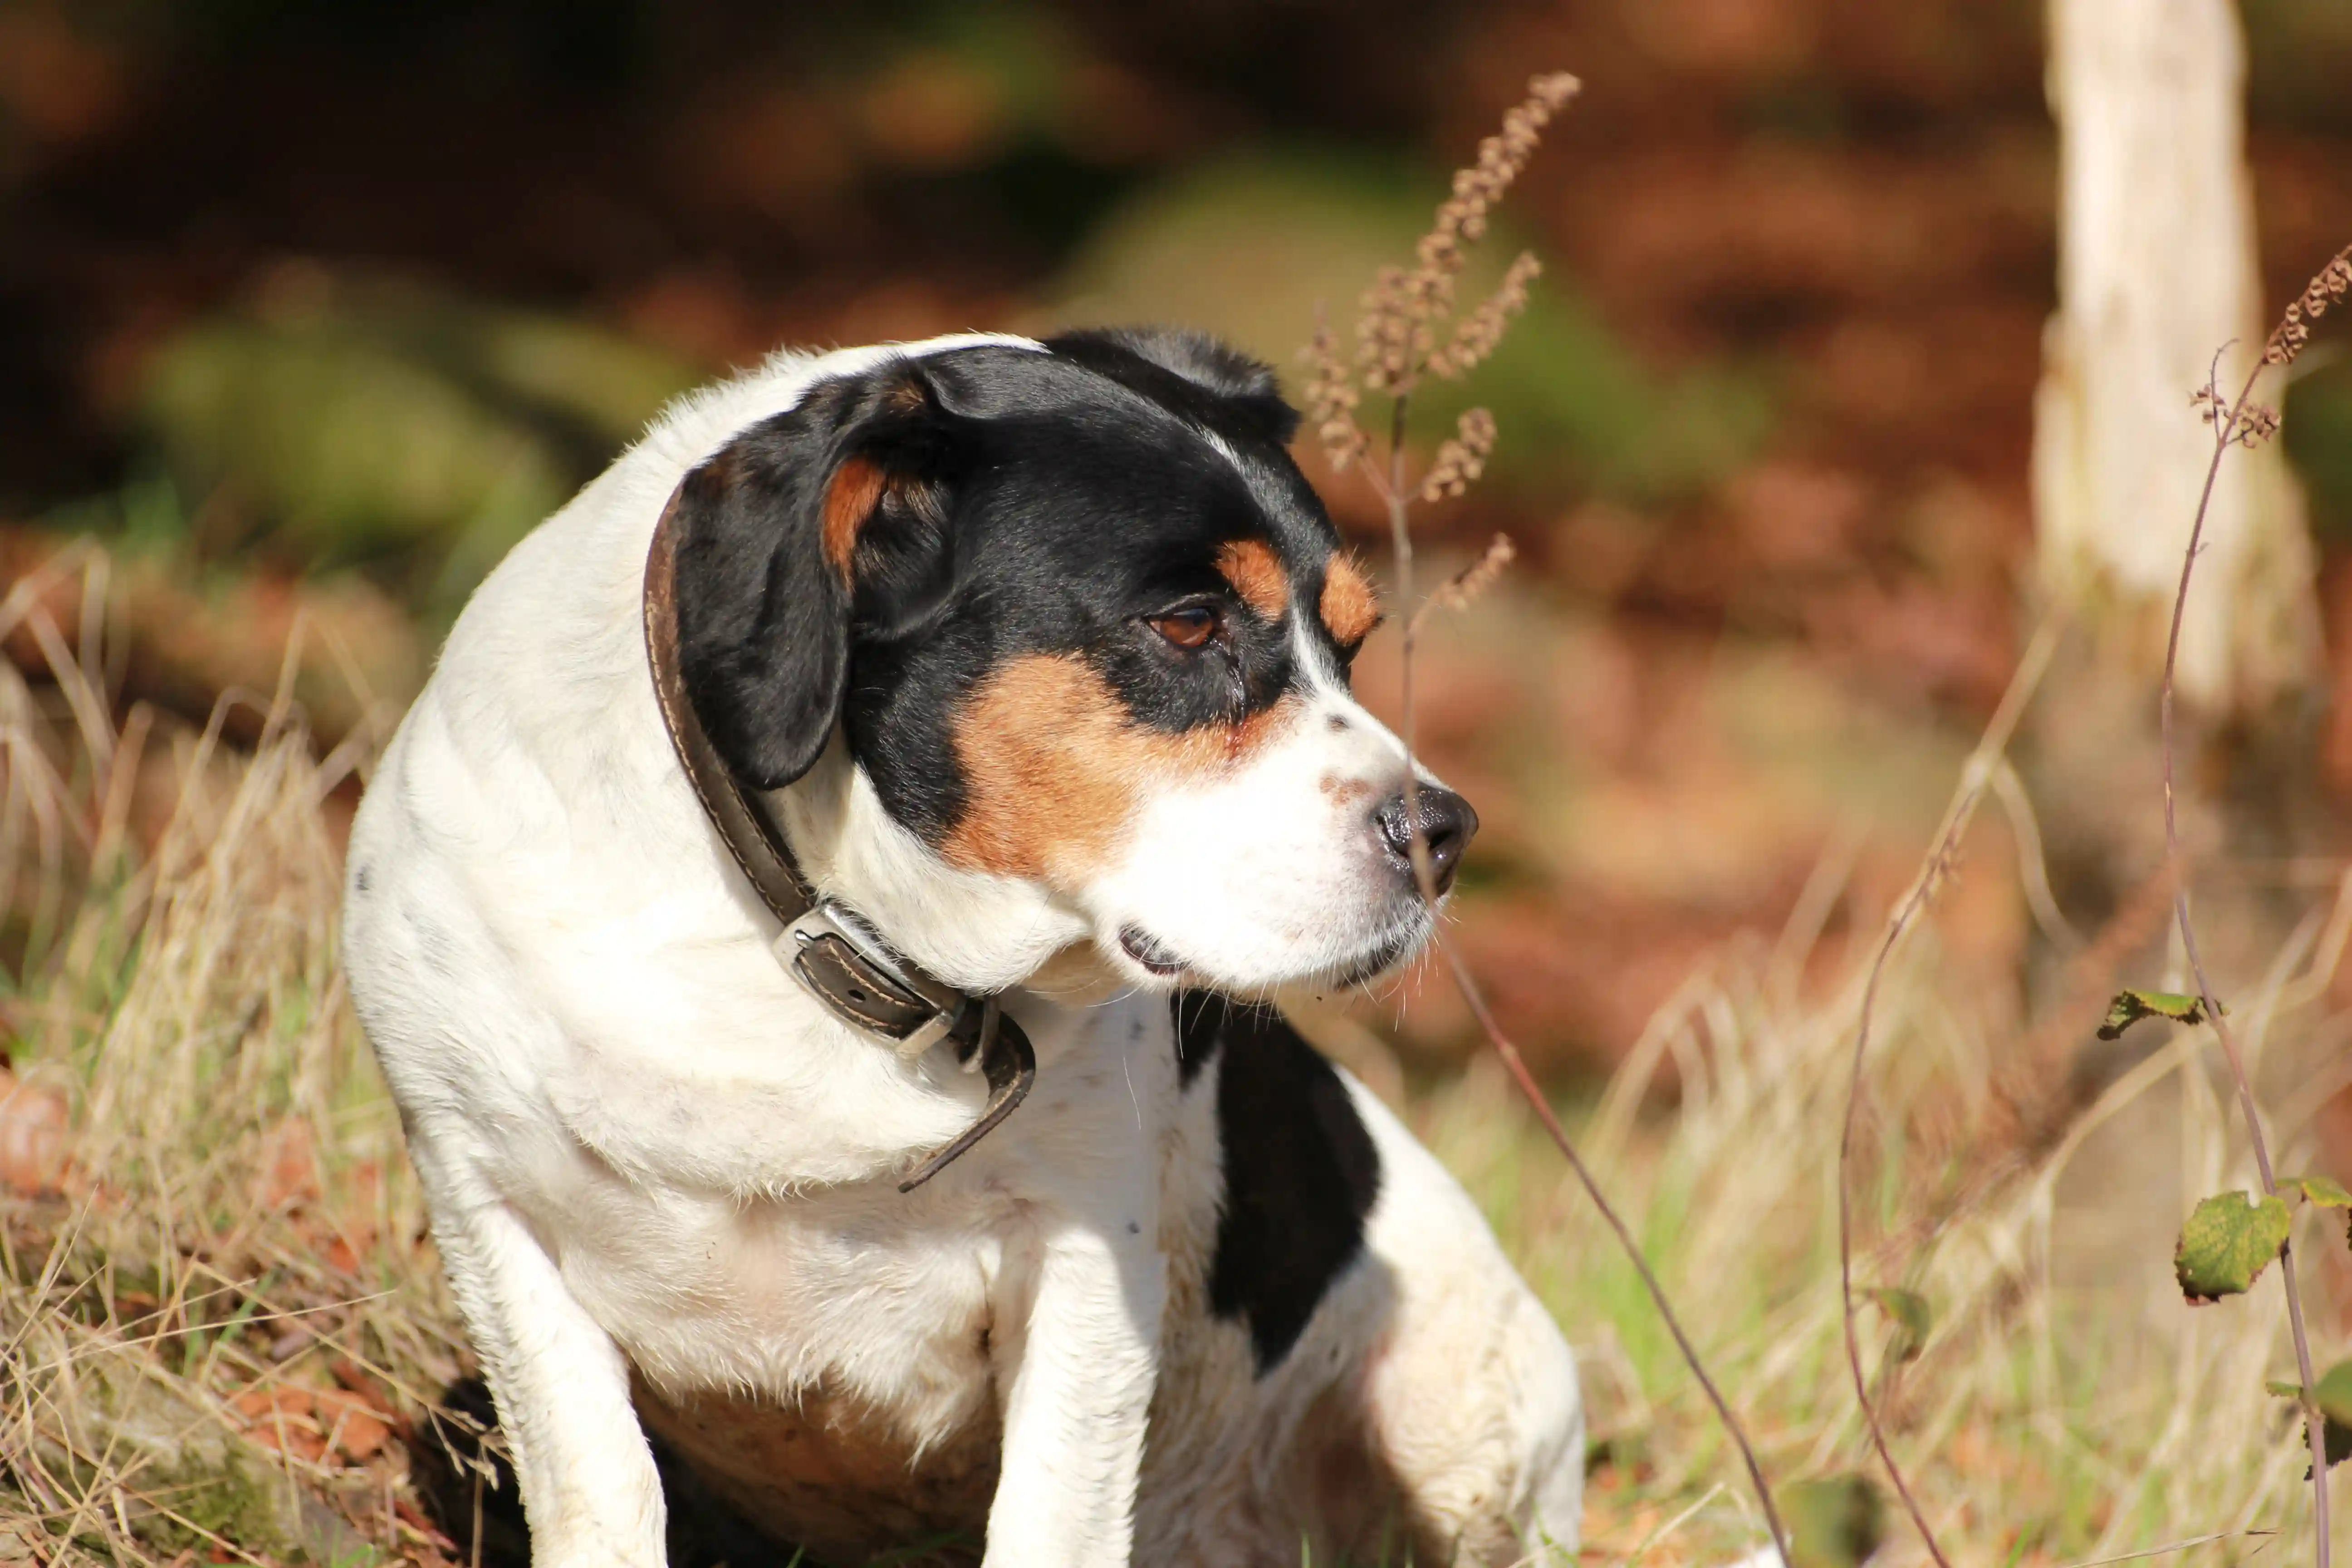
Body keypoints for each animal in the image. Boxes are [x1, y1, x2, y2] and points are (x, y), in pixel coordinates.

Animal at [341, 324, 1590, 1561]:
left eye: (1353, 642)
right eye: (1188, 624)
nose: (1444, 834)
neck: (821, 938)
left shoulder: (1085, 1265)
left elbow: (1049, 1518)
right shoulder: (488, 1204)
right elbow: (600, 1491)